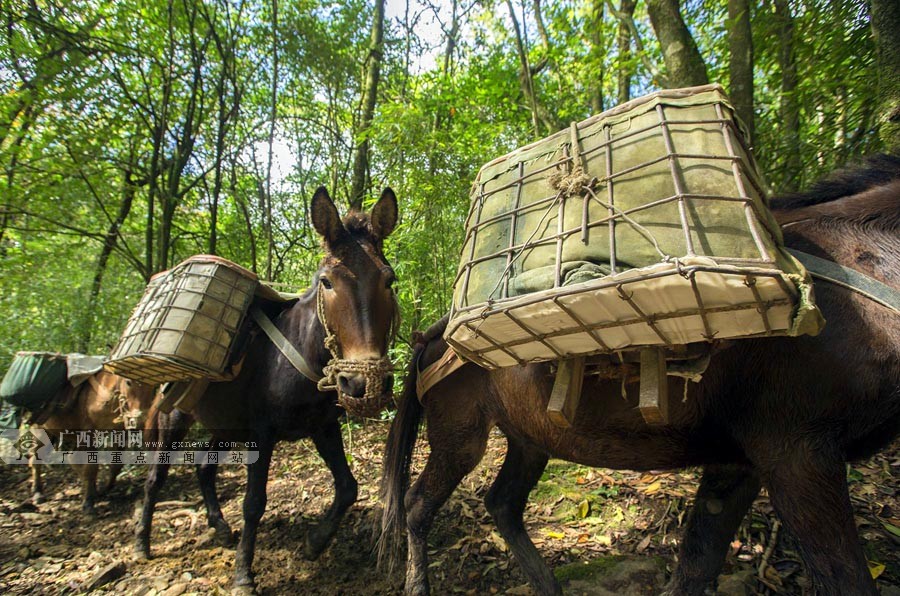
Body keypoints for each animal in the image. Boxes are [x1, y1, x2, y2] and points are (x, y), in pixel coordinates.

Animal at [30, 372, 158, 516]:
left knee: (70, 459)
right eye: (128, 382)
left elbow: (116, 465)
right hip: (40, 431)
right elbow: (90, 468)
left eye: (154, 386)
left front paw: (104, 489)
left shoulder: (119, 432)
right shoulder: (89, 434)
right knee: (36, 459)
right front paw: (88, 503)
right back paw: (37, 493)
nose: (140, 422)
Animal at [135, 186, 400, 592]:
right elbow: (253, 502)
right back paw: (142, 543)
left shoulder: (323, 427)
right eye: (326, 281)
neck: (299, 350)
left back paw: (220, 527)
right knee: (155, 479)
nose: (361, 384)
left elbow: (347, 487)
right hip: (176, 418)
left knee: (203, 466)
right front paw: (244, 574)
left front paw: (314, 543)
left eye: (389, 279)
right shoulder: (262, 434)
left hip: (225, 425)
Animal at [382, 155, 900, 596]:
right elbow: (844, 578)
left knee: (502, 504)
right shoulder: (797, 453)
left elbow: (697, 562)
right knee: (418, 505)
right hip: (459, 433)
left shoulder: (742, 460)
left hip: (530, 436)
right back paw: (417, 582)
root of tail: (435, 332)